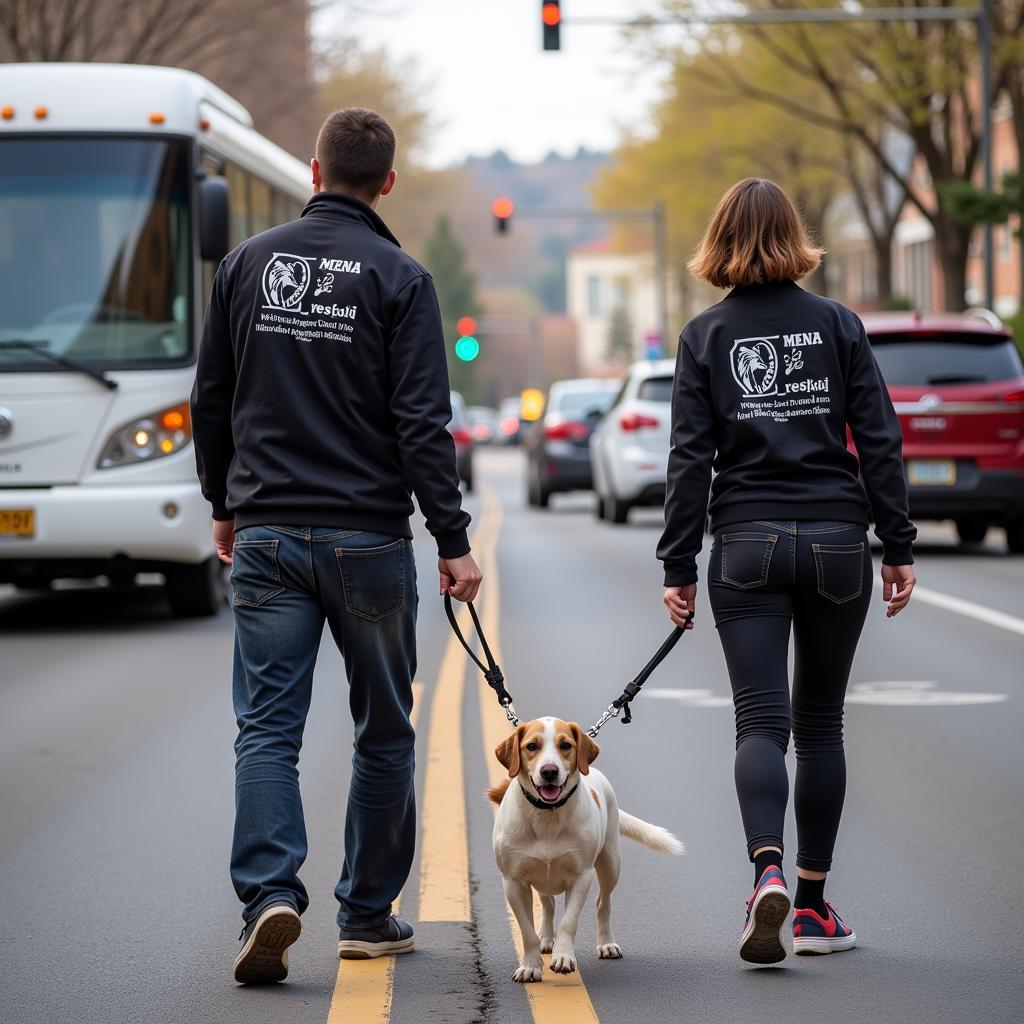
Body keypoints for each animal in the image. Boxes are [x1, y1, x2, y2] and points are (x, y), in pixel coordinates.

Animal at [485, 716, 679, 978]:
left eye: (565, 745)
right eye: (532, 746)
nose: (549, 771)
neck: (548, 816)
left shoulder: (581, 876)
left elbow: (569, 922)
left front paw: (563, 957)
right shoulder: (513, 881)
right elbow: (527, 930)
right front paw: (530, 966)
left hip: (610, 863)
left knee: (603, 903)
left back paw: (606, 943)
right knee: (548, 904)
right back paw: (546, 938)